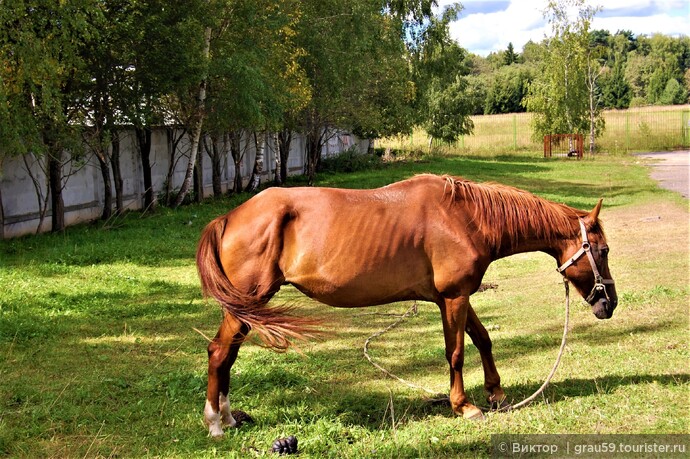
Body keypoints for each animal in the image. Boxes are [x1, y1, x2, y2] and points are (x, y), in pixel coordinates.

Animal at [196, 174, 616, 436]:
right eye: (603, 250)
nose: (609, 303)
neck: (466, 217)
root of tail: (228, 217)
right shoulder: (454, 297)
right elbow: (456, 352)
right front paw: (464, 406)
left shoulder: (454, 296)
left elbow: (482, 339)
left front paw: (496, 393)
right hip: (247, 304)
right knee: (218, 353)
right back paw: (216, 424)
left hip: (245, 309)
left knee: (227, 355)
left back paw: (228, 419)